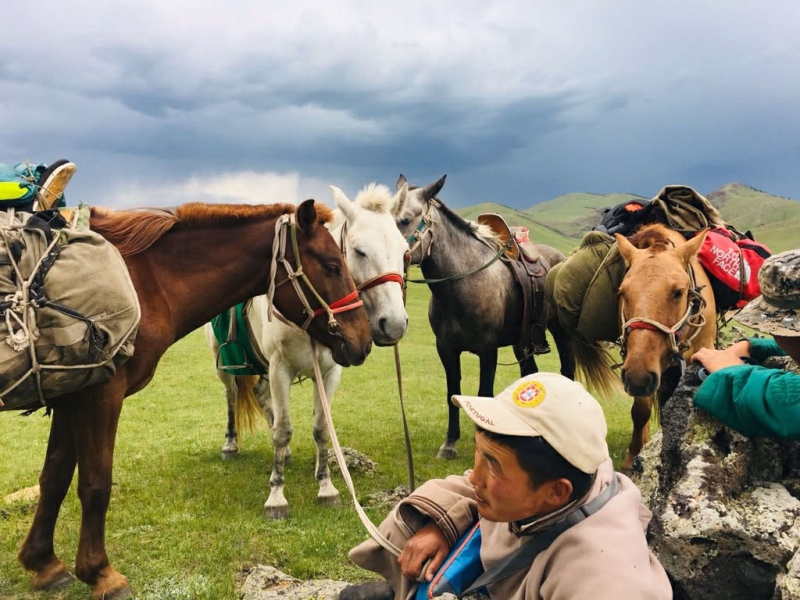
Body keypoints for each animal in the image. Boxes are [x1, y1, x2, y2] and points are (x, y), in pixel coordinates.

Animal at [8, 199, 372, 600]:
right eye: (332, 265)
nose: (364, 340)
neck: (144, 283)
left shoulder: (72, 394)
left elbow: (54, 478)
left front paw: (44, 563)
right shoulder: (99, 394)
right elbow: (95, 484)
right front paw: (101, 572)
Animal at [204, 183, 410, 519]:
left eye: (405, 252)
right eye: (359, 251)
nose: (393, 325)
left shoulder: (329, 372)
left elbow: (321, 428)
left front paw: (326, 487)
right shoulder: (280, 369)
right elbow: (283, 429)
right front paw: (276, 496)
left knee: (262, 397)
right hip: (226, 366)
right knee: (233, 396)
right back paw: (230, 445)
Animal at [392, 174, 575, 459]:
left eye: (405, 219)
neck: (463, 281)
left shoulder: (488, 349)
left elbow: (484, 393)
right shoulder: (446, 349)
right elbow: (452, 393)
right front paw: (450, 443)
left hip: (561, 332)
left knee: (568, 370)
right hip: (522, 343)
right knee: (529, 372)